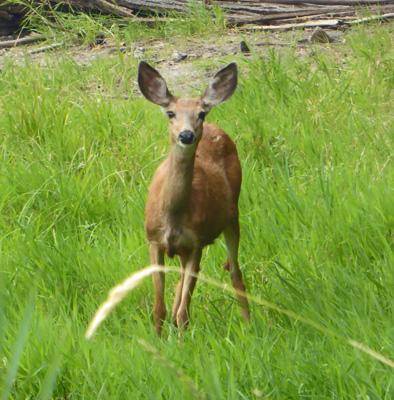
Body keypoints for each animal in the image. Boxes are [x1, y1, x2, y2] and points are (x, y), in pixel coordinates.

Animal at [138, 61, 249, 336]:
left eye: (201, 114)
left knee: (235, 273)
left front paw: (180, 340)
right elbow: (159, 309)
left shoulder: (196, 242)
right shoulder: (153, 241)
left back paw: (249, 325)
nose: (186, 135)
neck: (173, 216)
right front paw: (158, 339)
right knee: (181, 284)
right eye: (170, 113)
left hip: (232, 218)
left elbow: (183, 312)